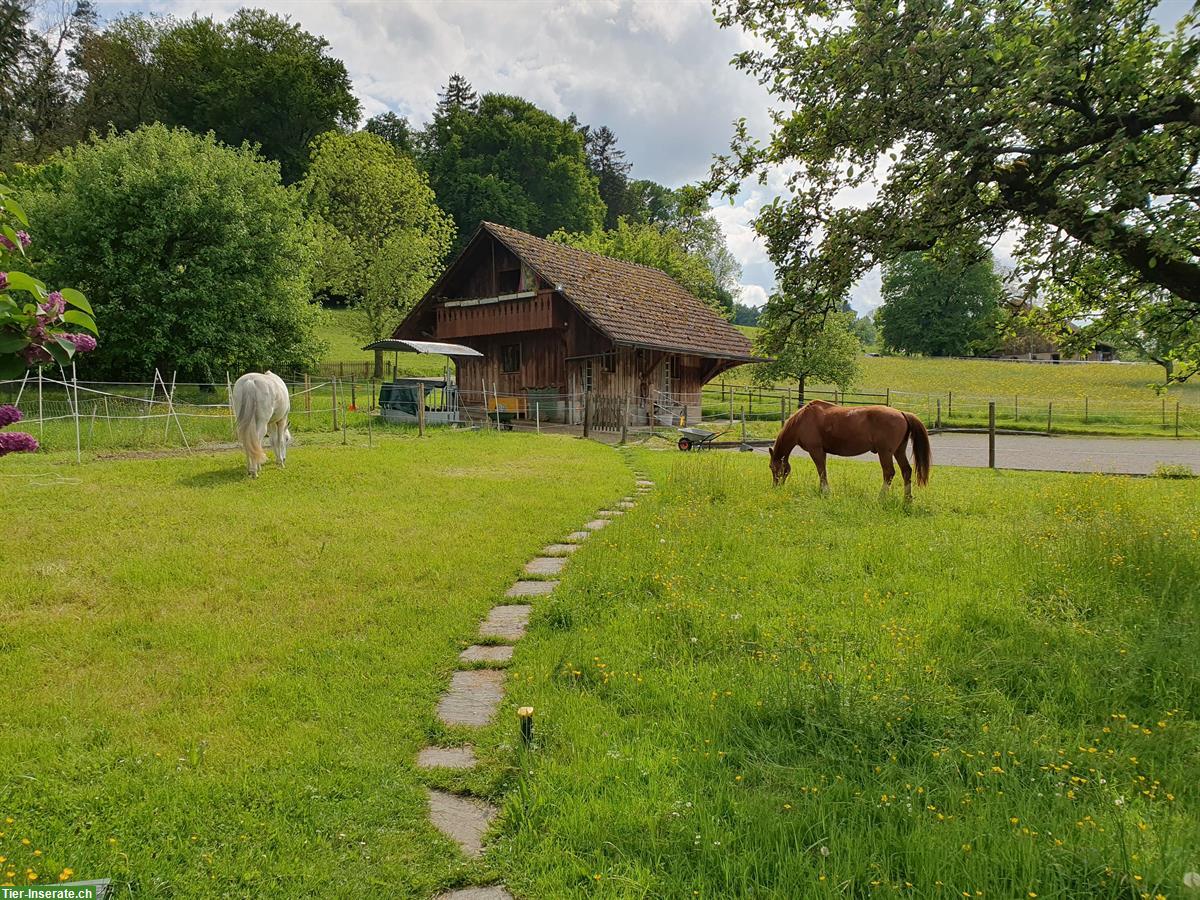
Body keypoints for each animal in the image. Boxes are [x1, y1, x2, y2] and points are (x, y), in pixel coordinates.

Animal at [772, 400, 931, 501]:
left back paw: (881, 498)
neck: (802, 420)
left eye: (772, 468)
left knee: (889, 473)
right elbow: (822, 471)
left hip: (885, 452)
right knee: (906, 471)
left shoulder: (816, 450)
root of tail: (901, 413)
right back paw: (907, 499)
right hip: (898, 451)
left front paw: (825, 492)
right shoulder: (821, 452)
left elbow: (821, 471)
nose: (776, 487)